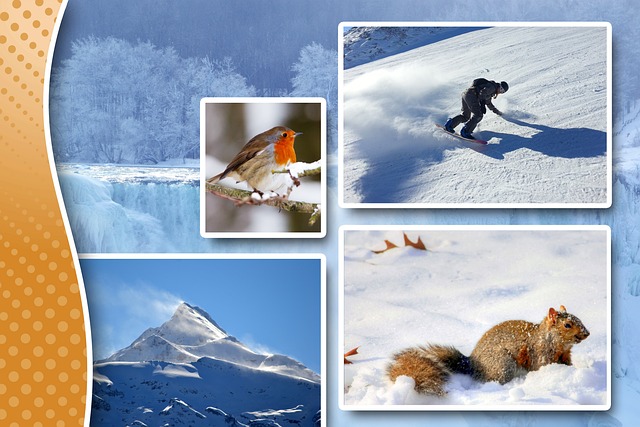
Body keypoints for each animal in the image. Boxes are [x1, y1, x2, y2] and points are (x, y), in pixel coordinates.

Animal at [384, 306, 592, 396]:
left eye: (579, 318)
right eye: (567, 325)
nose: (587, 333)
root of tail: (472, 363)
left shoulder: (565, 356)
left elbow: (568, 364)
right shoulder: (540, 354)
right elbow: (542, 366)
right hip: (503, 365)